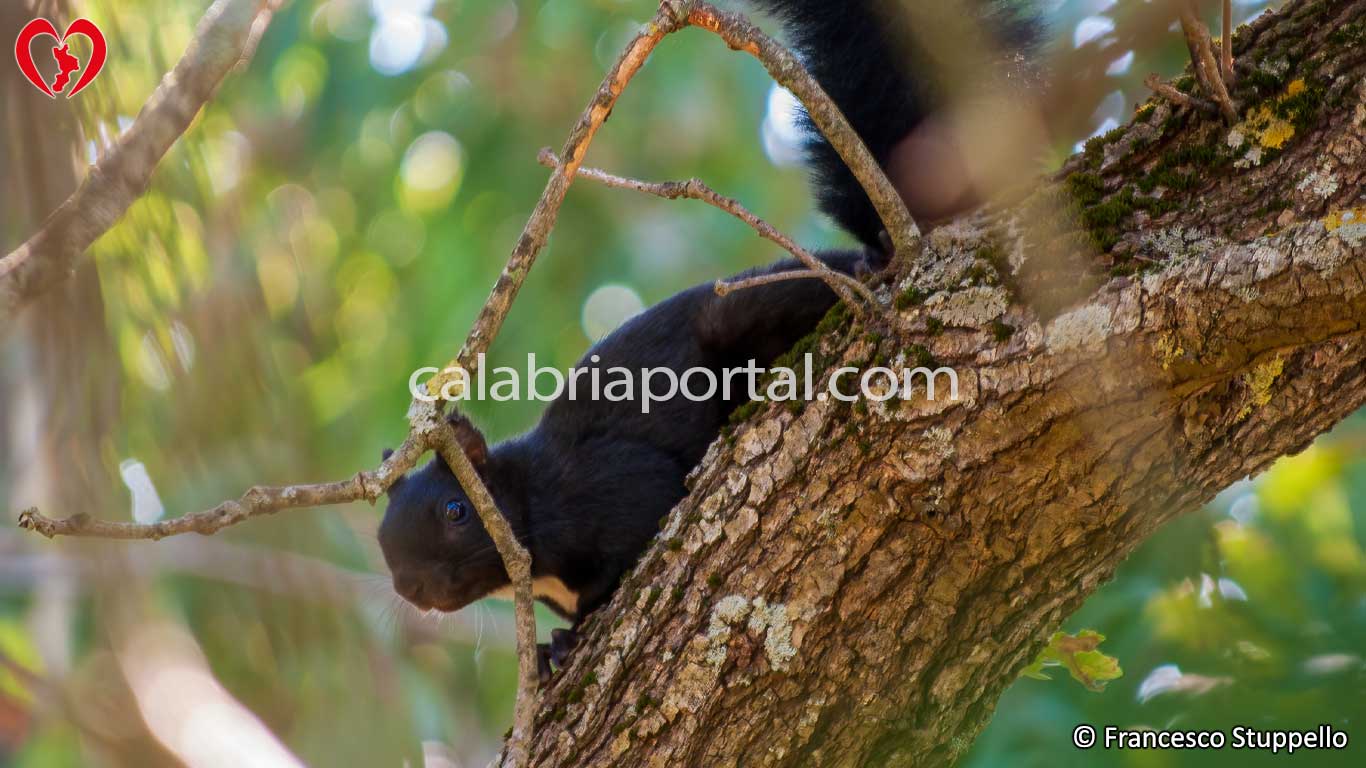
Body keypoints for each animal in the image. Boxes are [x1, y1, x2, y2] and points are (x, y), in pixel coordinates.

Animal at [379, 0, 1042, 679]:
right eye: (383, 544)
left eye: (455, 510)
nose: (412, 587)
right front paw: (545, 648)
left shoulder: (605, 486)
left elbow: (635, 524)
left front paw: (567, 637)